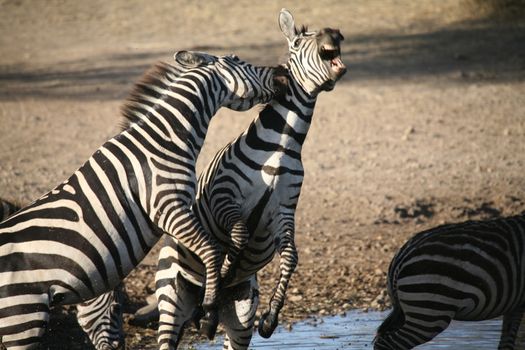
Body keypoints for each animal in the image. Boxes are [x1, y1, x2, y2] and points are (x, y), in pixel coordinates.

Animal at [0, 52, 282, 350]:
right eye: (238, 60)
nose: (282, 72)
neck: (164, 139)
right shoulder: (168, 207)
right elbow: (210, 250)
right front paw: (208, 310)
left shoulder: (180, 211)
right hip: (23, 315)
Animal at [133, 9, 346, 348]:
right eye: (299, 42)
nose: (334, 33)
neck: (282, 145)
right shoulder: (224, 194)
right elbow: (240, 233)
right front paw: (223, 272)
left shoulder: (284, 210)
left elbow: (291, 257)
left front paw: (271, 318)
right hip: (171, 300)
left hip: (241, 316)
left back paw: (210, 314)